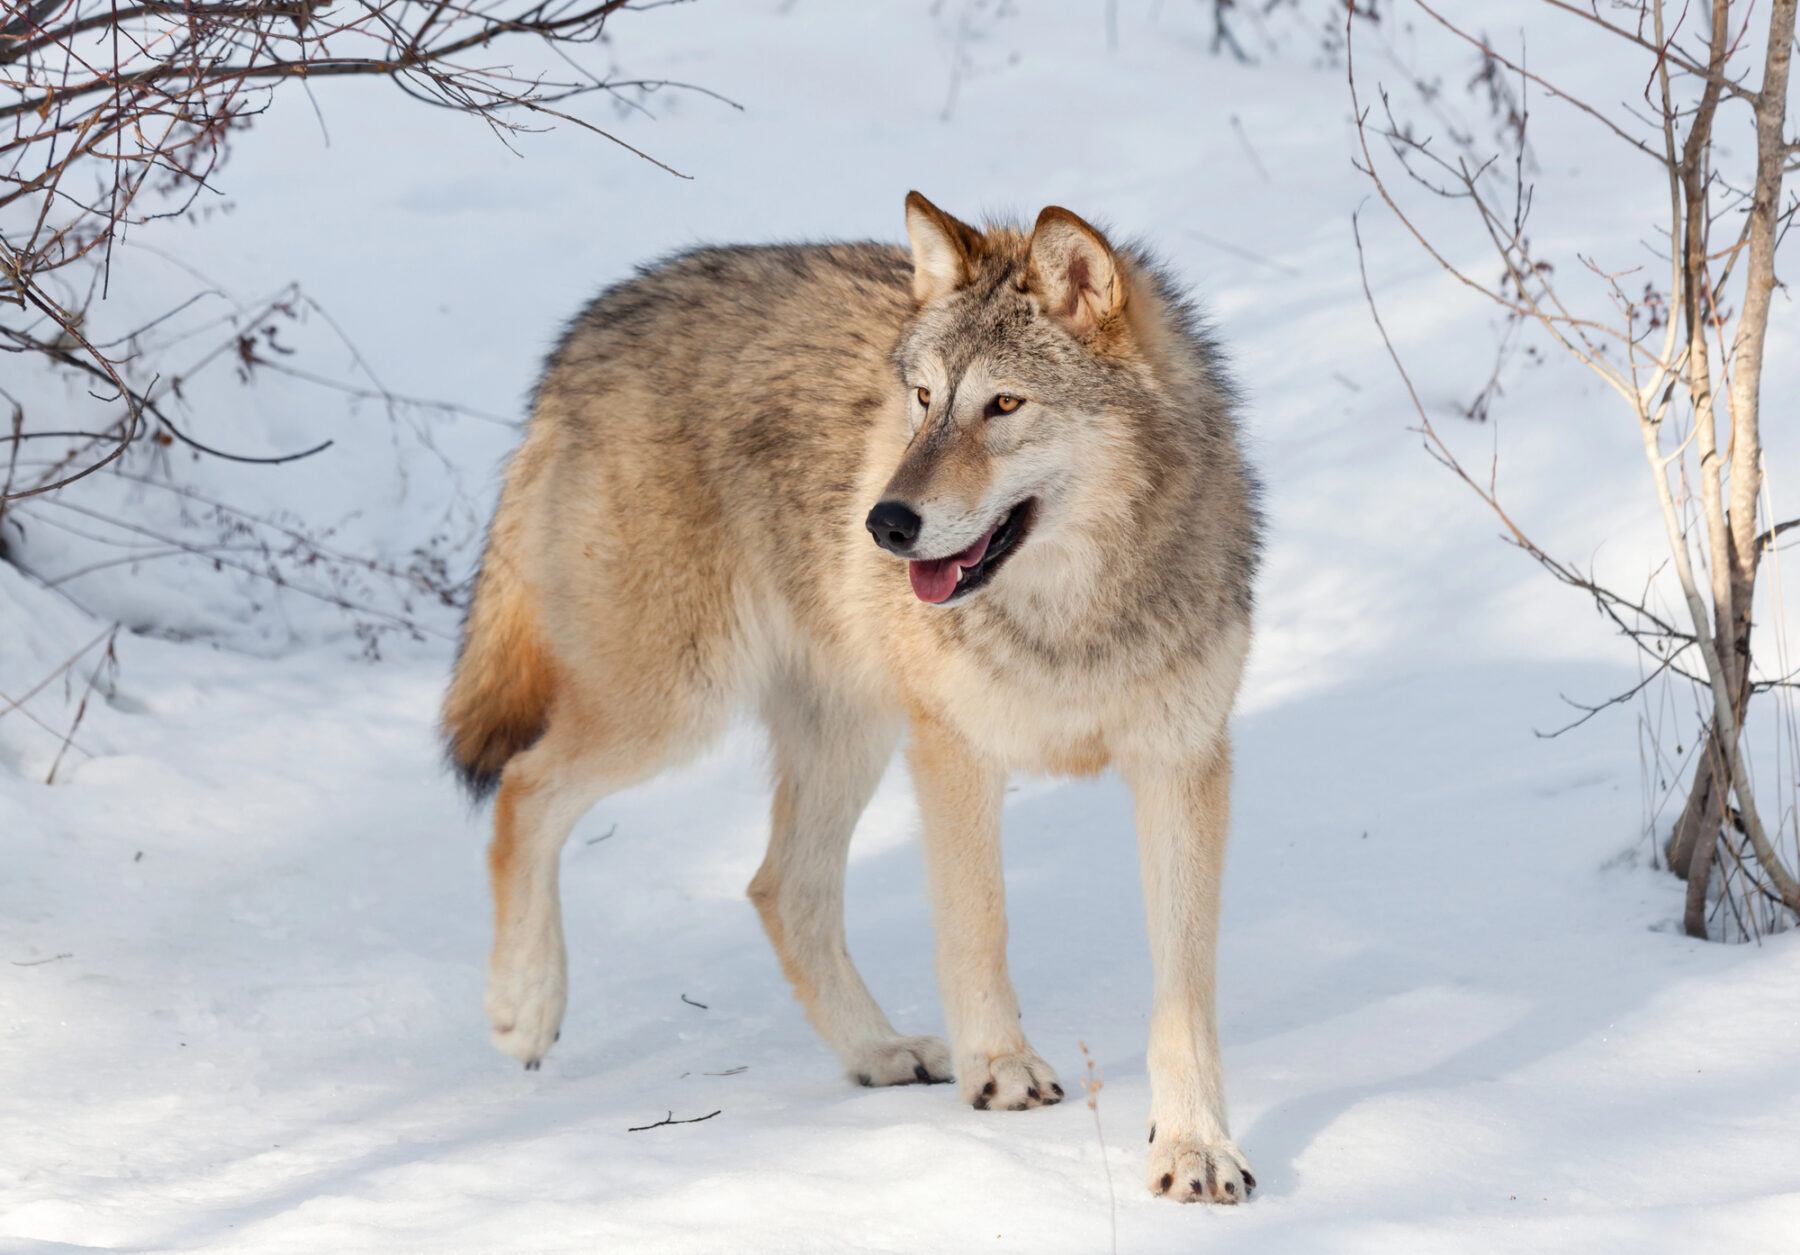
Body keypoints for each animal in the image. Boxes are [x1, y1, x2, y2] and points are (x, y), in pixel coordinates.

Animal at [446, 190, 1267, 1202]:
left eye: (1003, 404)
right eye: (922, 400)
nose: (884, 521)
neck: (1071, 615)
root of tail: (590, 324)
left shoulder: (1184, 764)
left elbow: (1183, 991)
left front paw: (1194, 1149)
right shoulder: (953, 748)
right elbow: (978, 926)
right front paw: (1000, 1069)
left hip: (841, 731)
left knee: (777, 884)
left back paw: (878, 1051)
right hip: (675, 706)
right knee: (525, 787)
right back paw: (524, 1007)